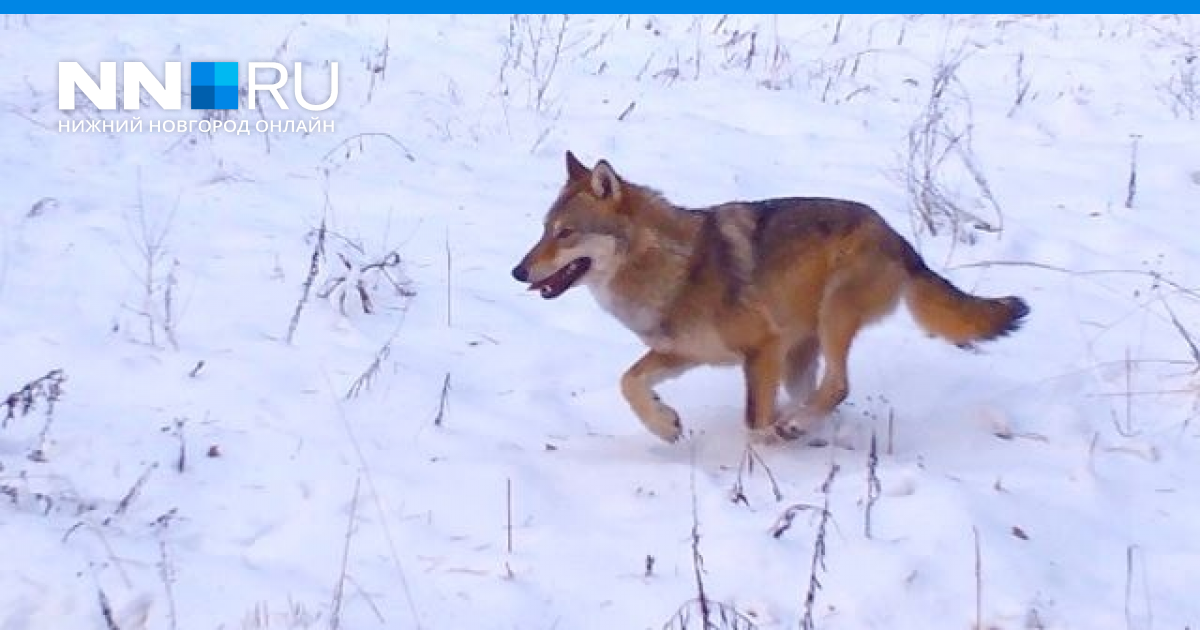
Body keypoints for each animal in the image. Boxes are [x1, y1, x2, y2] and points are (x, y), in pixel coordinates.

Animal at [511, 150, 1027, 441]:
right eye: (544, 230)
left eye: (566, 233)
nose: (518, 272)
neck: (672, 266)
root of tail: (899, 239)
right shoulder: (683, 353)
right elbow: (629, 383)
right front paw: (665, 424)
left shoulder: (762, 348)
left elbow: (755, 422)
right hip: (802, 351)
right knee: (824, 394)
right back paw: (813, 428)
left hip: (830, 320)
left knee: (838, 386)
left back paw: (799, 426)